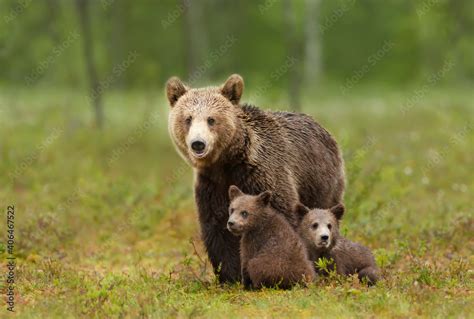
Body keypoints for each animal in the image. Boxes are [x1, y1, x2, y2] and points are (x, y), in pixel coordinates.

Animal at [167, 75, 344, 284]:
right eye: (188, 119)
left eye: (211, 119)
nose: (198, 144)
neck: (226, 162)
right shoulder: (211, 185)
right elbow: (217, 228)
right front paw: (231, 276)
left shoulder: (262, 175)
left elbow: (282, 218)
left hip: (320, 181)